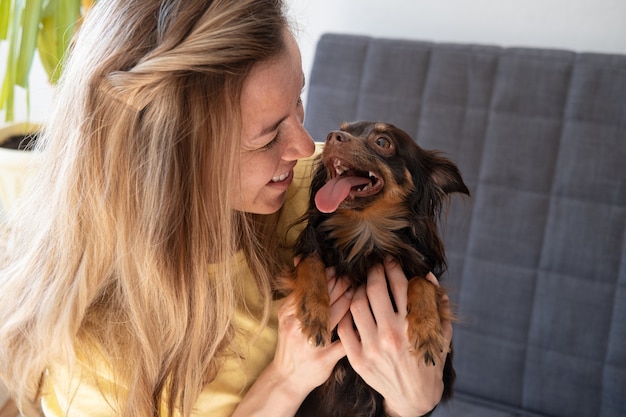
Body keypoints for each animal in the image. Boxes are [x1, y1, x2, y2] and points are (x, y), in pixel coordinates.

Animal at [282, 120, 468, 416]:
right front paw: (314, 312)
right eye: (343, 128)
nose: (333, 136)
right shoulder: (309, 256)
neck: (366, 236)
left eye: (383, 142)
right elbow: (311, 262)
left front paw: (427, 331)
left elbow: (422, 281)